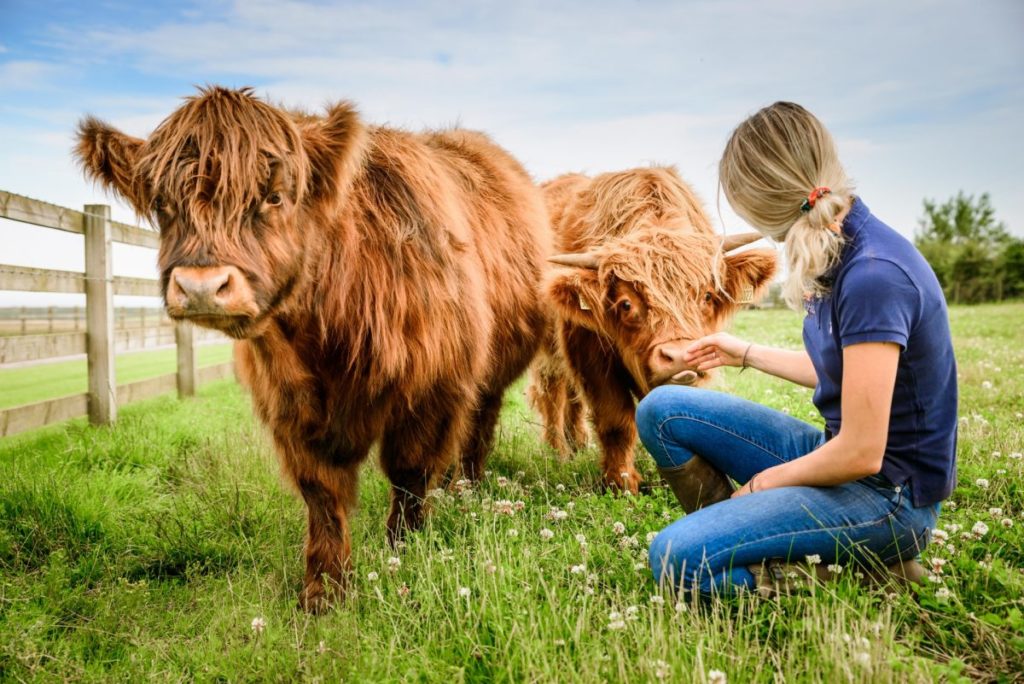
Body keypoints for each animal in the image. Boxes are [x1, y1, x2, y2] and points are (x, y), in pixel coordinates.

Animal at [76, 87, 552, 614]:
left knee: (476, 432)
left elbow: (409, 475)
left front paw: (403, 554)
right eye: (162, 203)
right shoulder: (290, 405)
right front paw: (324, 590)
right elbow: (322, 494)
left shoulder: (433, 391)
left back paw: (466, 489)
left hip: (489, 379)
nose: (201, 286)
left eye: (274, 196)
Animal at [536, 167, 774, 493]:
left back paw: (578, 443)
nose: (681, 356)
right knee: (553, 392)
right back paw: (557, 450)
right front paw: (621, 483)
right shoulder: (590, 354)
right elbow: (616, 421)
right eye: (626, 304)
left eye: (707, 296)